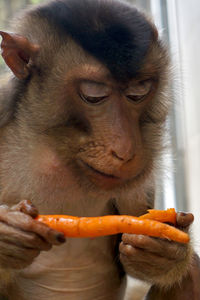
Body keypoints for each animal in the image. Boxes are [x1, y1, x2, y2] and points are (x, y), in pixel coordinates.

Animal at [0, 0, 198, 298]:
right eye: (93, 96)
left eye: (138, 94)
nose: (125, 150)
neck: (54, 149)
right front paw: (8, 235)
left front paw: (167, 252)